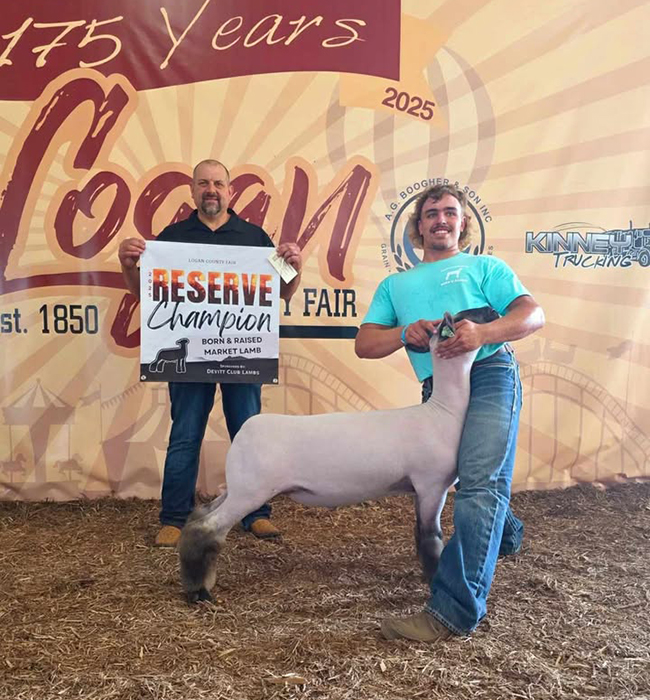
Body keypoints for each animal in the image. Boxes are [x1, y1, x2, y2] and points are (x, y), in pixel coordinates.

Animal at [178, 306, 499, 603]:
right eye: (466, 316)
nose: (493, 310)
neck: (442, 413)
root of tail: (245, 430)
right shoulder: (432, 484)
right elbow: (432, 537)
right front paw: (433, 580)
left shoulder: (419, 489)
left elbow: (420, 533)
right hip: (251, 491)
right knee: (208, 528)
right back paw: (199, 592)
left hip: (237, 487)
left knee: (199, 517)